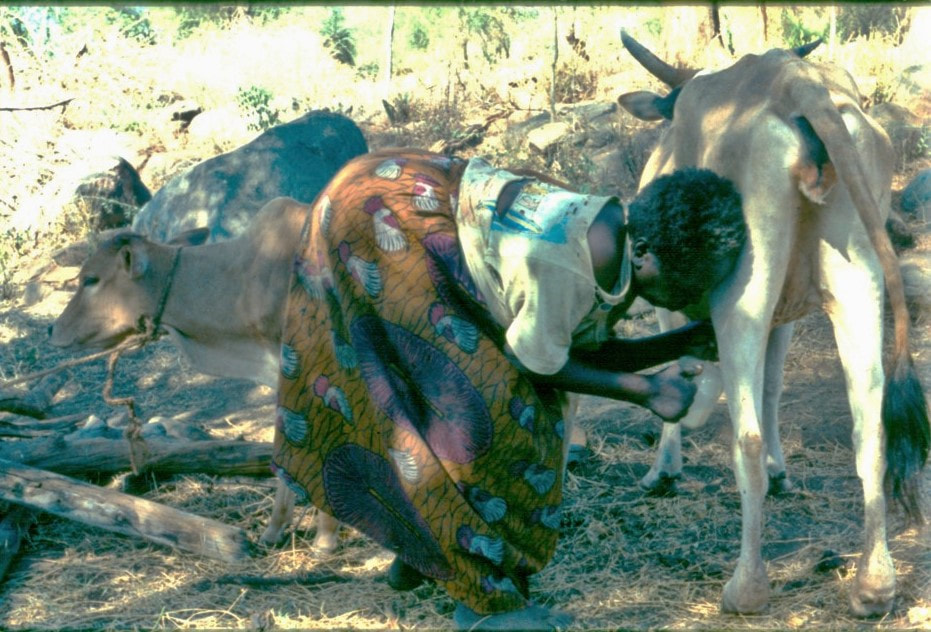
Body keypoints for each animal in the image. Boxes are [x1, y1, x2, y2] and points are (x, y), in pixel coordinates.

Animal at [617, 32, 929, 617]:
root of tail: (795, 81)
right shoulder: (786, 314)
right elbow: (774, 384)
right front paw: (784, 470)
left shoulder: (677, 300)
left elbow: (683, 378)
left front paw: (662, 469)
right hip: (856, 279)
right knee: (870, 424)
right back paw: (874, 585)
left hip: (744, 292)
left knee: (748, 437)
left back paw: (747, 587)